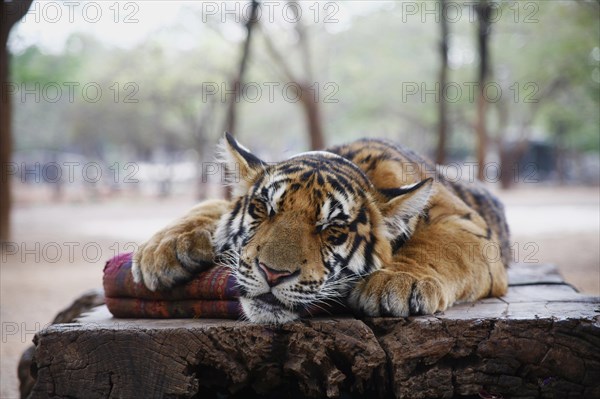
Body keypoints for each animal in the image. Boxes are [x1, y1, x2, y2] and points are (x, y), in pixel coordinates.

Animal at [130, 134, 506, 324]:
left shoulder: (463, 221)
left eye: (332, 229)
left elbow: (440, 246)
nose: (273, 274)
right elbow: (210, 206)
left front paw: (396, 282)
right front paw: (158, 250)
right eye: (263, 209)